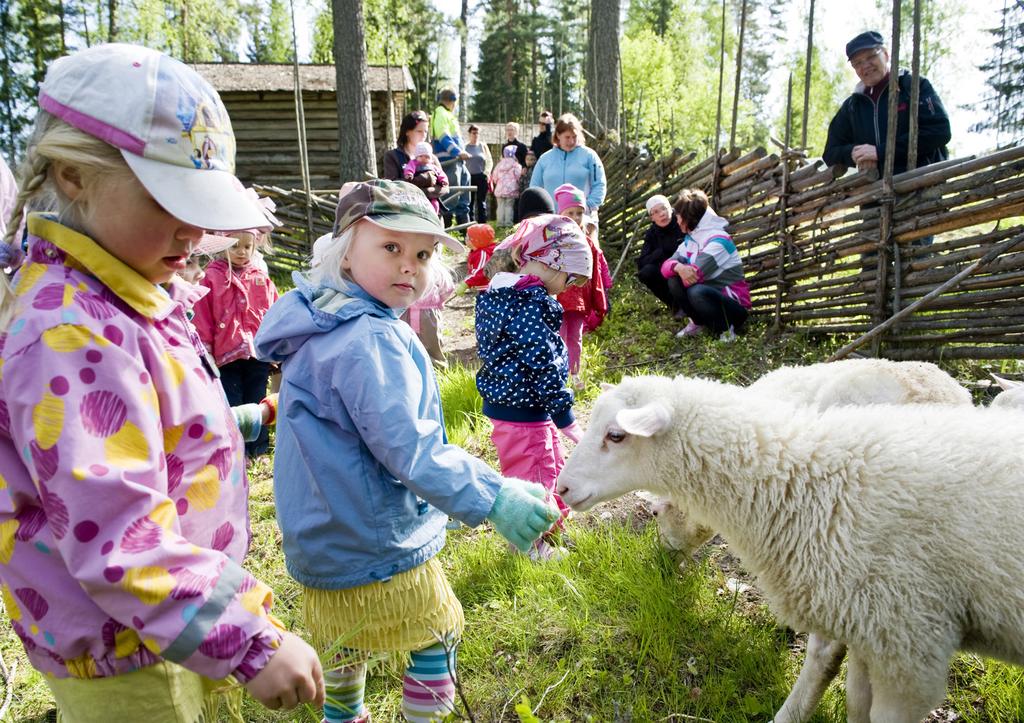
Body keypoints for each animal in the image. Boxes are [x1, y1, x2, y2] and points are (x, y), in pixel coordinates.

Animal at [557, 374, 1024, 716]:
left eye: (616, 435)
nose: (561, 487)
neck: (811, 480)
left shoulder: (909, 651)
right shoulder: (870, 626)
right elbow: (855, 700)